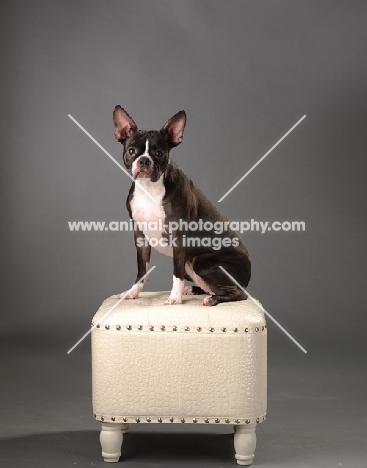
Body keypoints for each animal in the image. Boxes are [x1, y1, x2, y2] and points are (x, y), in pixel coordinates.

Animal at [113, 105, 252, 308]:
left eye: (159, 153)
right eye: (131, 151)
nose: (144, 160)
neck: (150, 189)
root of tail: (248, 277)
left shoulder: (178, 237)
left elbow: (175, 274)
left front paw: (174, 298)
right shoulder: (140, 235)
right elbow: (142, 270)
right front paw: (132, 292)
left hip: (201, 262)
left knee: (238, 293)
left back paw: (212, 299)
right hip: (191, 263)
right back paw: (194, 290)